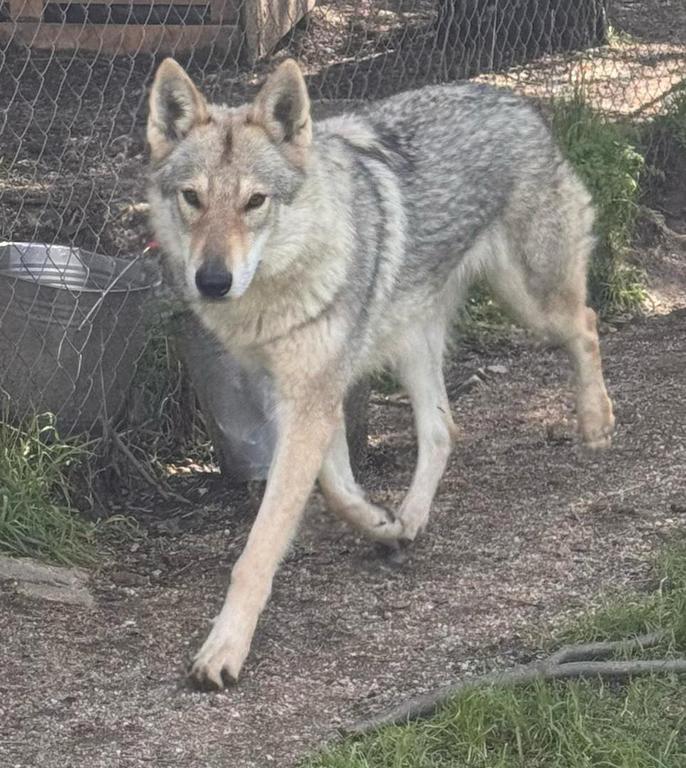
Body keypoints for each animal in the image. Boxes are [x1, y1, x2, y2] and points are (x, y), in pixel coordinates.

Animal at [146, 57, 614, 688]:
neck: (281, 289)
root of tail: (514, 100)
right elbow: (339, 489)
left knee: (586, 324)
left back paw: (596, 424)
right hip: (411, 342)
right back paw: (410, 520)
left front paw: (224, 650)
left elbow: (260, 548)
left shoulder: (312, 400)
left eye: (254, 202)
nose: (213, 281)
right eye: (193, 198)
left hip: (532, 306)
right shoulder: (298, 397)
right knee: (443, 429)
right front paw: (381, 522)